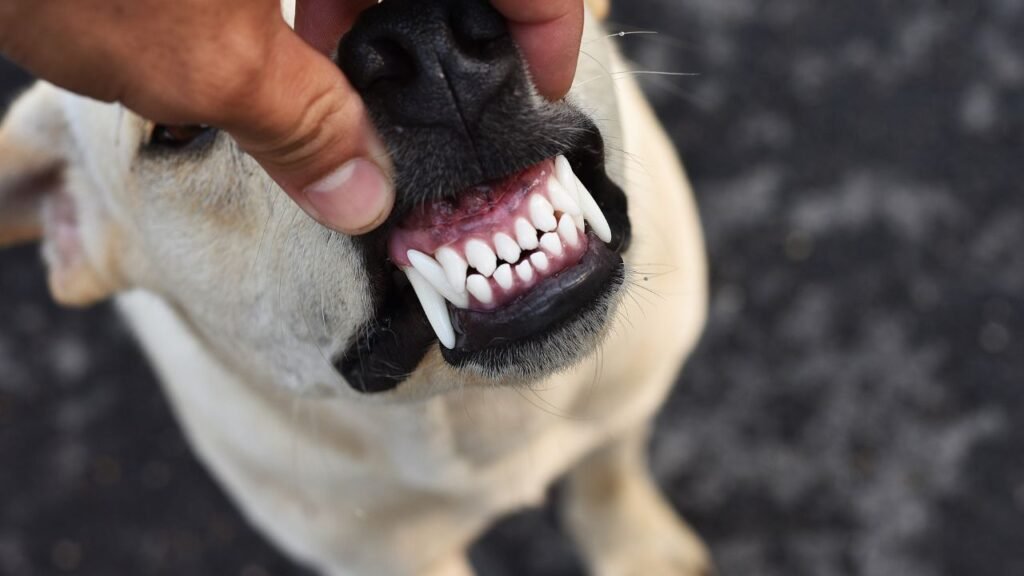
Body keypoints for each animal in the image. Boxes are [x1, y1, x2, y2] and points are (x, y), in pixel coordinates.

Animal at [0, 1, 708, 573]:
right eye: (179, 127)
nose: (420, 39)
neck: (484, 408)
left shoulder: (628, 396)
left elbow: (610, 466)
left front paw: (637, 549)